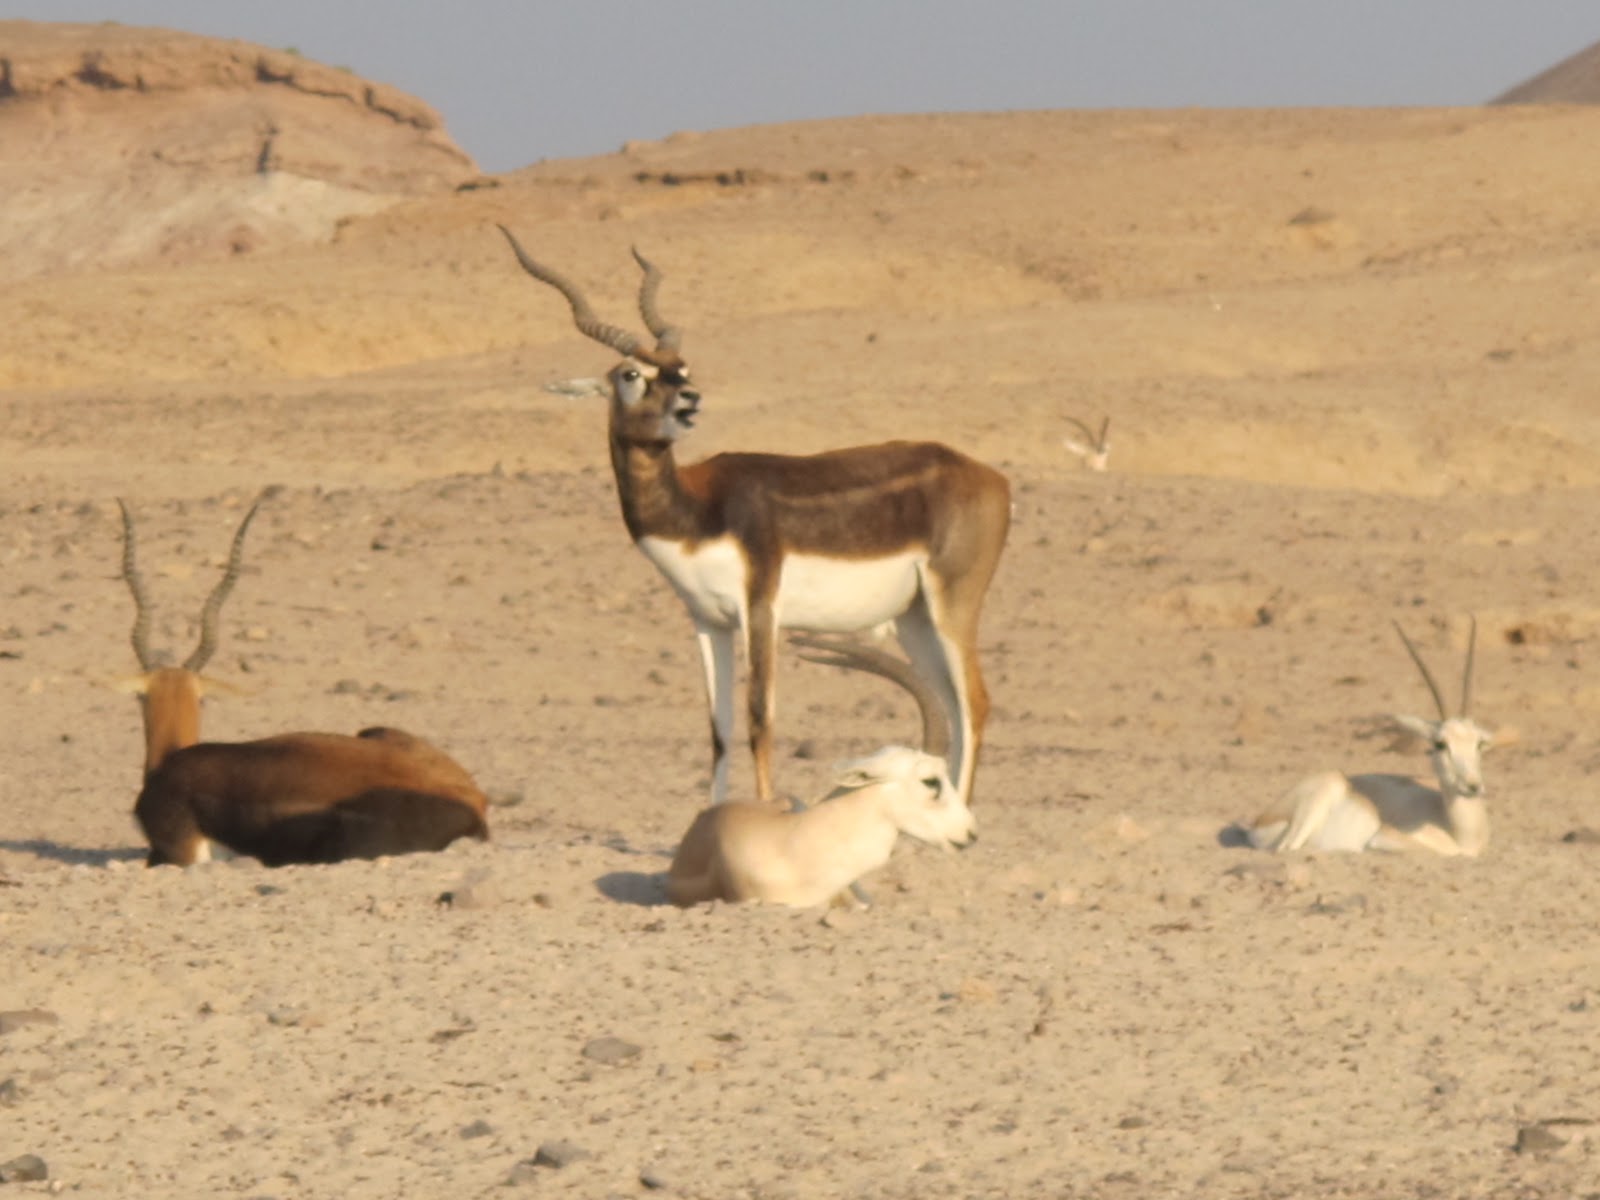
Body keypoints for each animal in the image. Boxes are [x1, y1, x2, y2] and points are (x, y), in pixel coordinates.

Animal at [497, 228, 1012, 809]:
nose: (689, 401)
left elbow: (759, 719)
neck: (695, 512)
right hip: (914, 618)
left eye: (682, 369)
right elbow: (718, 729)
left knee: (975, 702)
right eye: (631, 374)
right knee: (950, 704)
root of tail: (990, 478)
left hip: (952, 605)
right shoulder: (707, 620)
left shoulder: (760, 610)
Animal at [1243, 618, 1494, 856]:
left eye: (1479, 743)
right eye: (1441, 744)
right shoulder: (1382, 837)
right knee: (1287, 849)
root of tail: (1259, 821)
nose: (1473, 786)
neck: (1459, 832)